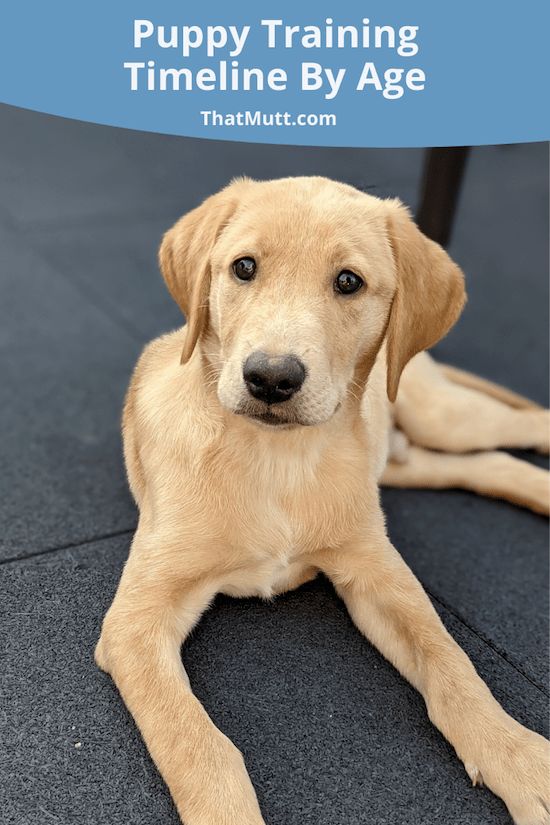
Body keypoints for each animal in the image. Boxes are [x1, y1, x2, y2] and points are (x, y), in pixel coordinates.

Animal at [96, 177, 550, 824]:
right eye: (243, 267)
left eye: (348, 281)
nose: (270, 378)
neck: (276, 461)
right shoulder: (136, 622)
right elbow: (197, 744)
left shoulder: (375, 568)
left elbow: (449, 659)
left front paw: (517, 755)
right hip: (410, 461)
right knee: (489, 464)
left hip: (440, 416)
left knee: (523, 427)